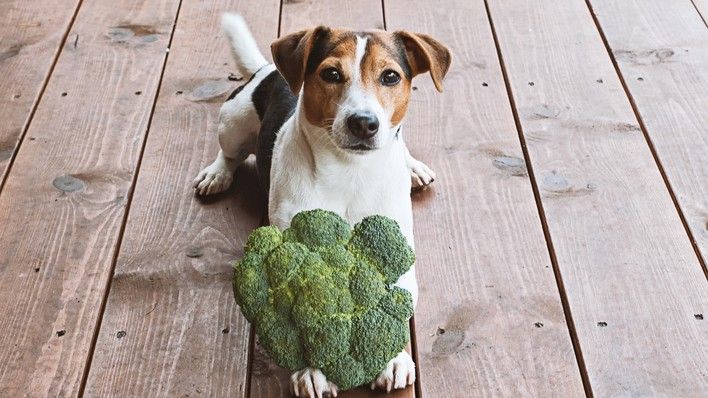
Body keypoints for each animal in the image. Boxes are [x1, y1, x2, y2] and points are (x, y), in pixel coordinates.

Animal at [192, 14, 448, 396]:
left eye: (390, 76)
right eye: (331, 74)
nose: (363, 123)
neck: (349, 170)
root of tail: (267, 70)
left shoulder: (395, 248)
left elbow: (395, 301)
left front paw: (393, 357)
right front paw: (312, 370)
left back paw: (412, 166)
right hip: (233, 123)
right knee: (230, 153)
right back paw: (217, 173)